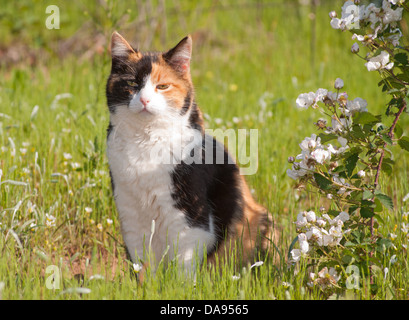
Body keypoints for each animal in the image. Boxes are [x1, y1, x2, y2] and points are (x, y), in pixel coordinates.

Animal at [105, 33, 272, 272]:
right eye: (131, 83)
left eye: (162, 86)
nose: (145, 100)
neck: (146, 140)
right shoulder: (131, 218)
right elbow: (143, 265)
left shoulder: (190, 218)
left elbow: (184, 263)